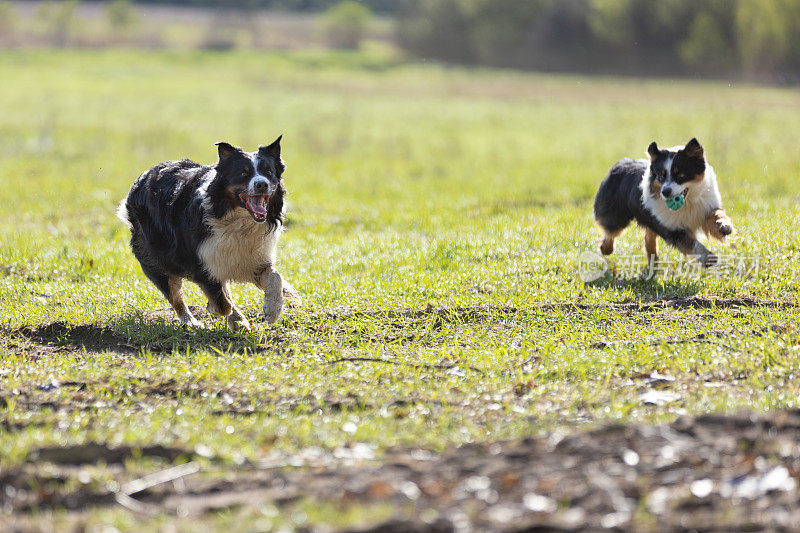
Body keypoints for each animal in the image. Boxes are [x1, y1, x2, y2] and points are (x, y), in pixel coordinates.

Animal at [120, 137, 302, 328]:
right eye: (243, 173)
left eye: (268, 171)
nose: (262, 184)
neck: (239, 221)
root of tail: (143, 177)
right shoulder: (200, 261)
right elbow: (222, 303)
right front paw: (217, 310)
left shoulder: (252, 259)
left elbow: (275, 276)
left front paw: (273, 310)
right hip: (158, 257)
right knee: (175, 295)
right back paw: (192, 322)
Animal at [592, 139, 736, 268]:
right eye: (661, 177)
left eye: (681, 175)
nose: (665, 192)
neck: (688, 203)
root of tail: (621, 162)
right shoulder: (673, 230)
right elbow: (692, 244)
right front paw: (708, 257)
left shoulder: (705, 209)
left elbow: (717, 214)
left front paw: (724, 226)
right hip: (617, 216)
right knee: (611, 231)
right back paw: (605, 249)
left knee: (648, 238)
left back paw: (653, 263)